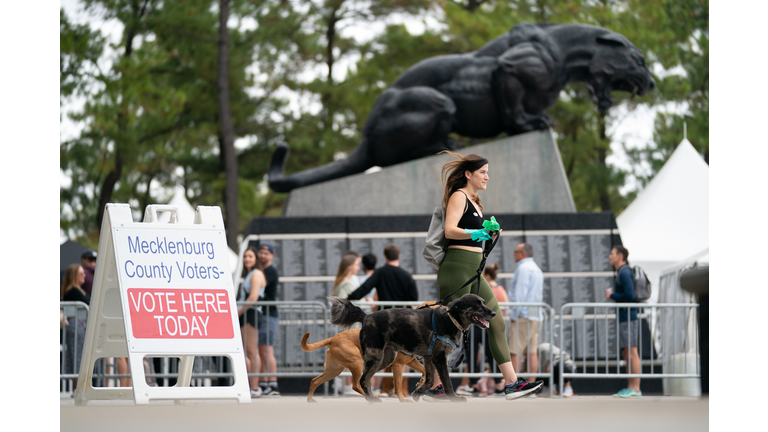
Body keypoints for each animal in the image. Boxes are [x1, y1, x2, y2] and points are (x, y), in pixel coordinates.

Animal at [328, 294, 496, 402]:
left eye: (483, 302)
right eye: (477, 304)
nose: (494, 313)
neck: (451, 319)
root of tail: (366, 317)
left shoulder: (429, 358)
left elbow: (428, 380)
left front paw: (417, 393)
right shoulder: (440, 358)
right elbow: (447, 381)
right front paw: (454, 398)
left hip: (385, 358)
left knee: (366, 379)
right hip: (375, 356)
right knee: (363, 379)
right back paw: (371, 399)